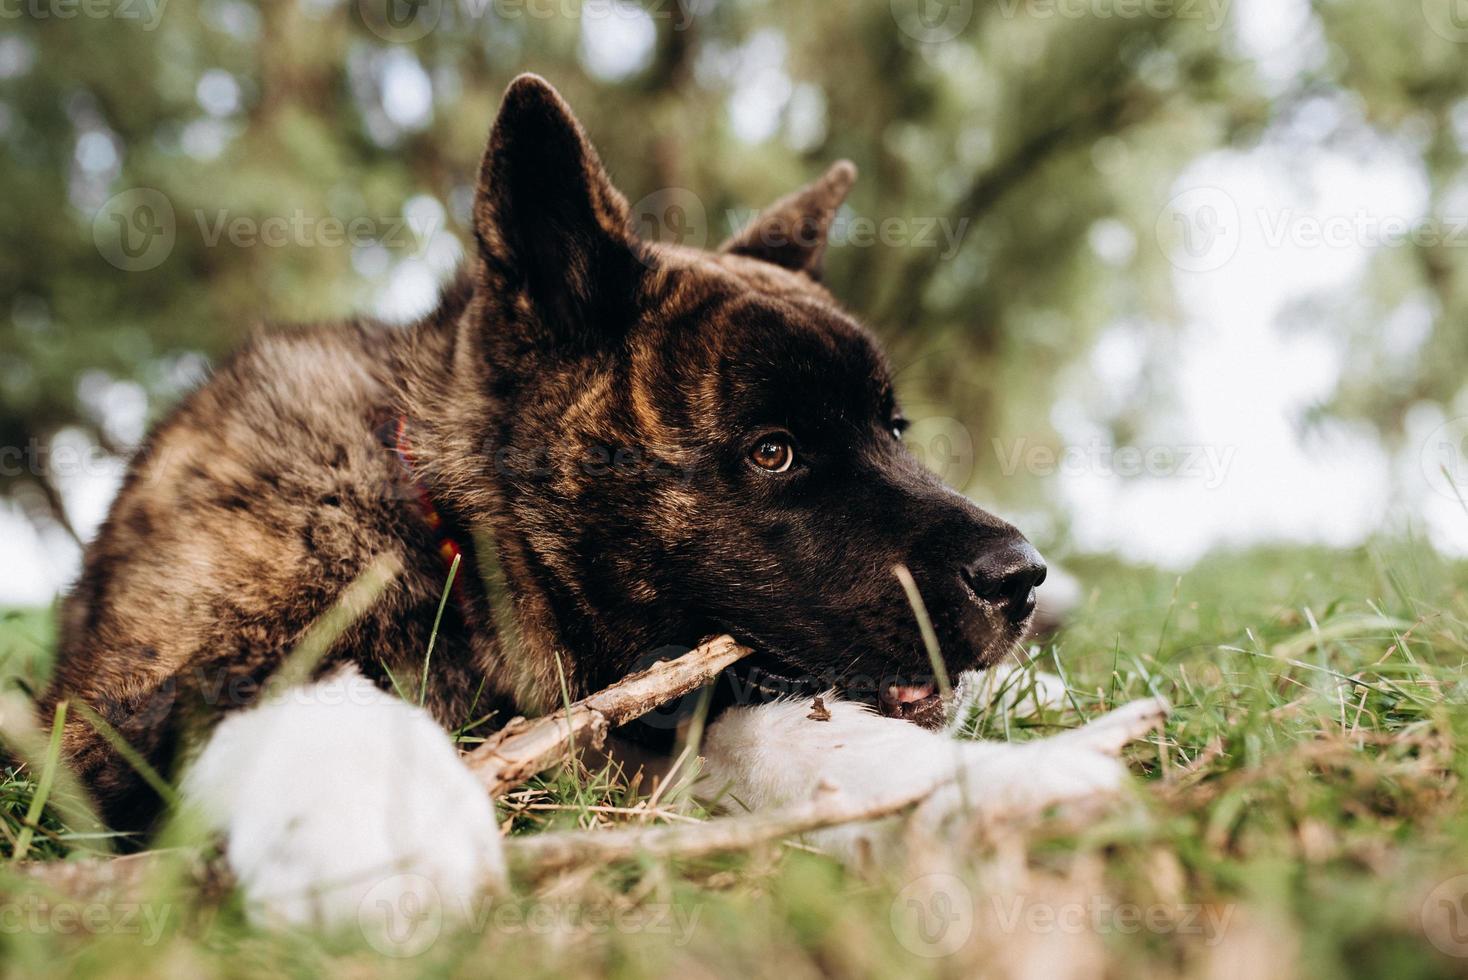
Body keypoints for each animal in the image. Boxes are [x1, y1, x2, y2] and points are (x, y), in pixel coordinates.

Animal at [37, 74, 1168, 927]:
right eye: (773, 452)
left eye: (894, 429)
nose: (1023, 579)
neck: (452, 540)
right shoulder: (115, 703)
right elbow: (284, 681)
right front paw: (381, 809)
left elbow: (806, 733)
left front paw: (1006, 781)